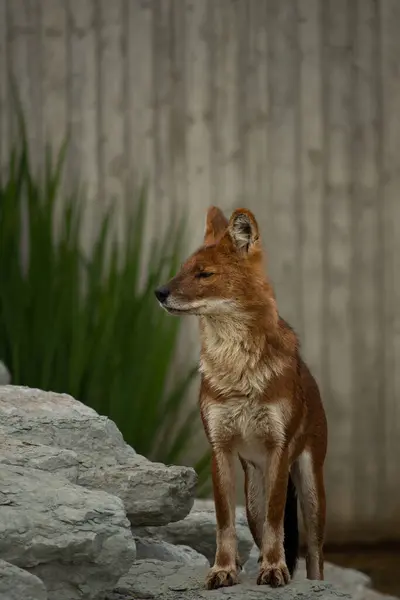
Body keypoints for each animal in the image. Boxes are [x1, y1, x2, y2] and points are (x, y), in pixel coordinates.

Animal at [155, 207, 326, 592]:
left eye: (205, 274)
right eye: (182, 269)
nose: (158, 292)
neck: (237, 369)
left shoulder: (279, 447)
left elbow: (278, 521)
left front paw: (275, 570)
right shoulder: (220, 448)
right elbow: (224, 523)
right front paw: (223, 570)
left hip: (310, 487)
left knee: (314, 552)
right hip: (252, 494)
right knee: (261, 532)